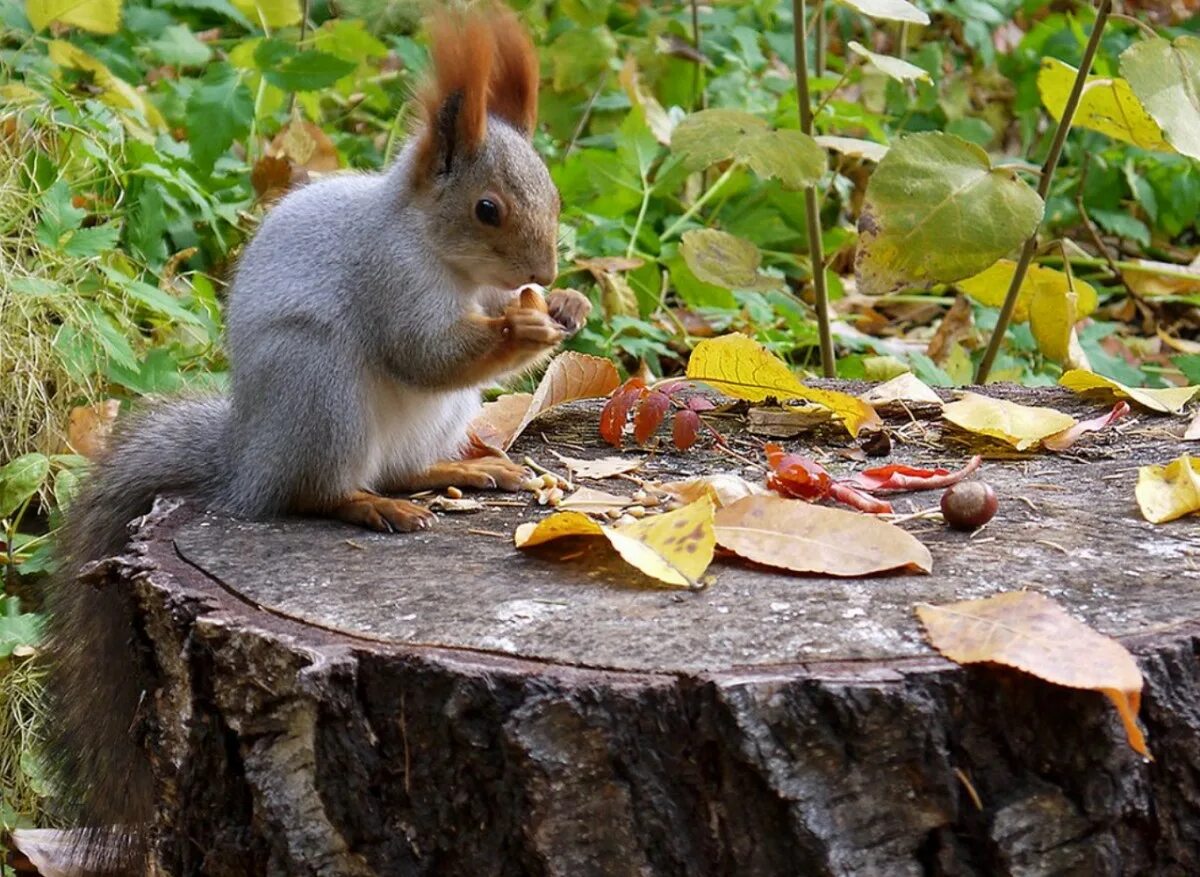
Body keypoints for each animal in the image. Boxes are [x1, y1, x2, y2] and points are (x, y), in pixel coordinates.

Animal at [45, 5, 590, 873]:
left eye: (555, 193)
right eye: (488, 209)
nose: (541, 267)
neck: (448, 262)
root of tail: (247, 457)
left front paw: (567, 303)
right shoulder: (389, 279)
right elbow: (421, 351)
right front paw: (526, 323)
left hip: (433, 417)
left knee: (401, 467)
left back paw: (463, 474)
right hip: (320, 389)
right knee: (316, 490)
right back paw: (369, 507)